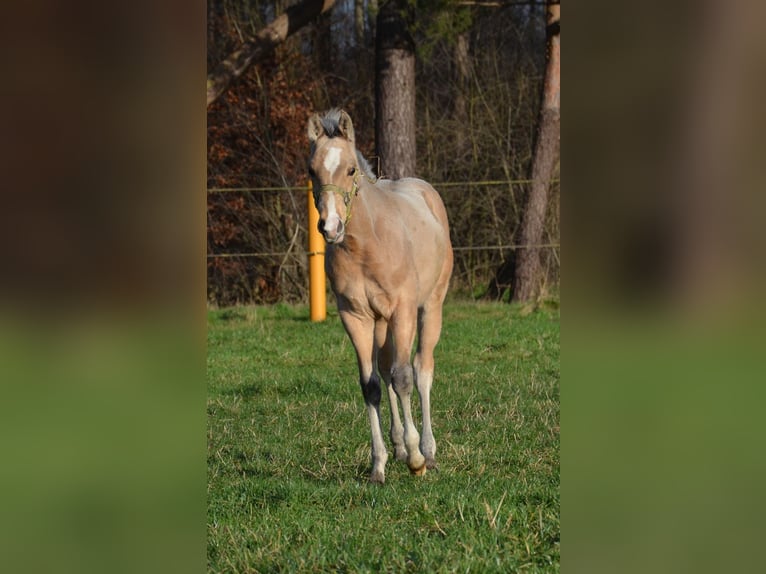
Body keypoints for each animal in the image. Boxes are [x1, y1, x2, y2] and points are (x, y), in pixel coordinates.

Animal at [306, 109, 452, 486]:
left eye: (350, 170)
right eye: (312, 170)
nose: (330, 227)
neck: (367, 244)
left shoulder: (402, 311)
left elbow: (404, 377)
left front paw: (416, 459)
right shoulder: (355, 317)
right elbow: (371, 384)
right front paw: (379, 465)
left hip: (429, 308)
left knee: (421, 369)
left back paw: (427, 451)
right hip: (382, 323)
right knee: (386, 371)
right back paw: (398, 446)